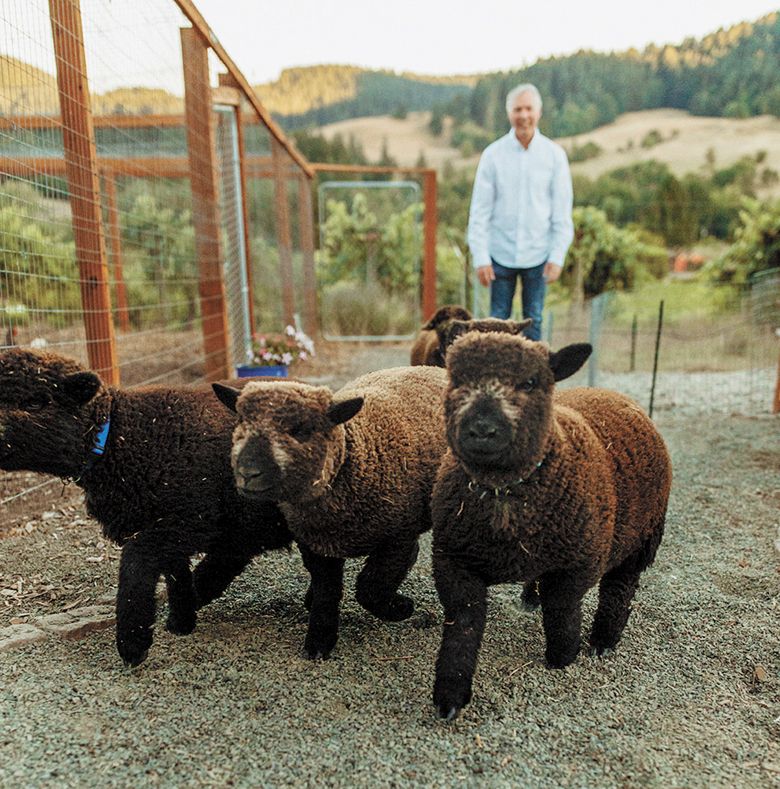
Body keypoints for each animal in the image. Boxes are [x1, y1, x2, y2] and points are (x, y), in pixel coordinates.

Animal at [0, 350, 290, 664]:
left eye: (35, 402)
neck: (121, 437)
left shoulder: (188, 519)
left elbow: (135, 563)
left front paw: (132, 643)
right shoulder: (167, 525)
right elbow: (176, 574)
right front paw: (181, 623)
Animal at [213, 364, 448, 660]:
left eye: (302, 430)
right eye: (241, 424)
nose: (247, 473)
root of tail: (432, 368)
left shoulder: (399, 537)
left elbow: (371, 588)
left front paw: (401, 608)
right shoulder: (317, 545)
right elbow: (327, 590)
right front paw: (319, 642)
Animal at [430, 332, 672, 720]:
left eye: (531, 382)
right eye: (456, 379)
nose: (481, 430)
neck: (504, 493)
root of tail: (612, 393)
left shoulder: (580, 562)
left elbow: (562, 608)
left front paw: (562, 656)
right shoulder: (453, 560)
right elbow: (463, 623)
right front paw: (450, 695)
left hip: (643, 536)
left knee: (620, 588)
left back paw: (603, 641)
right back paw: (533, 596)